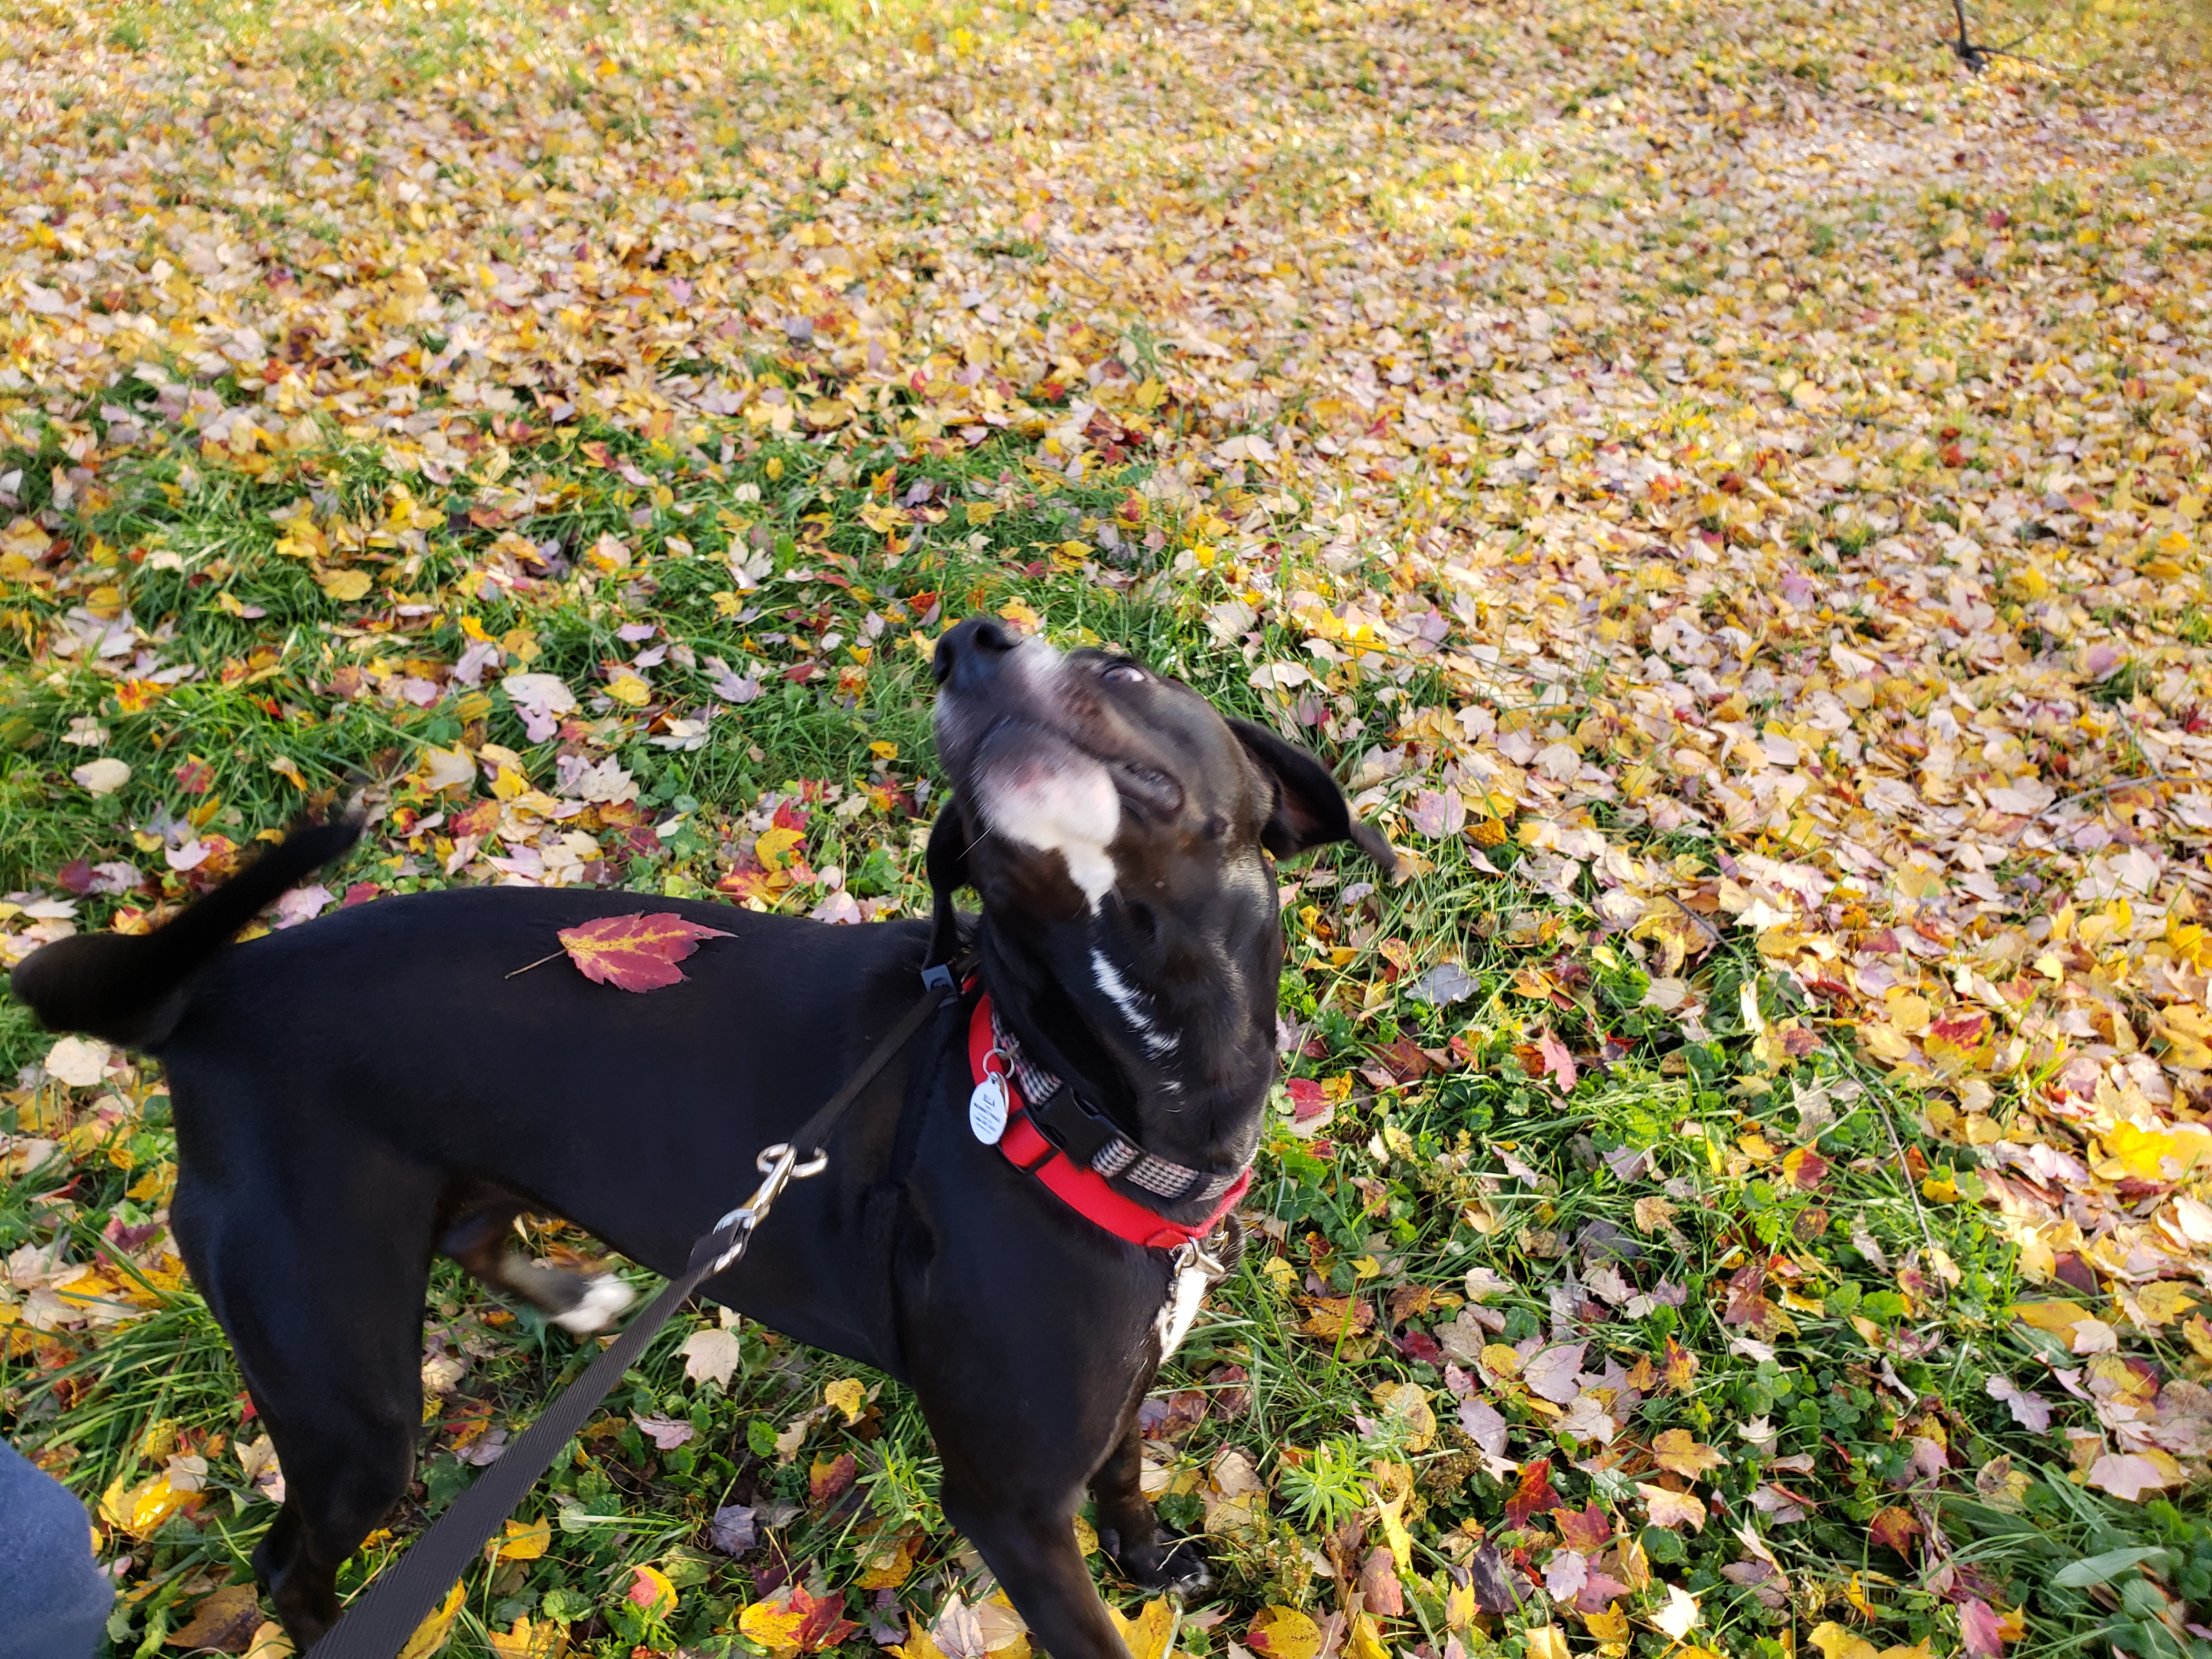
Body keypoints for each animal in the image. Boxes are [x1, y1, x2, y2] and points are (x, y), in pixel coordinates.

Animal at [17, 624, 1389, 1659]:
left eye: (1128, 671)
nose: (969, 642)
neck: (1081, 1090)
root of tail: (211, 1001)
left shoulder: (1122, 1392)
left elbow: (1129, 1478)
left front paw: (1159, 1558)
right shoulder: (1009, 1505)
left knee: (472, 1230)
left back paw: (574, 1298)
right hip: (348, 1396)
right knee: (290, 1565)